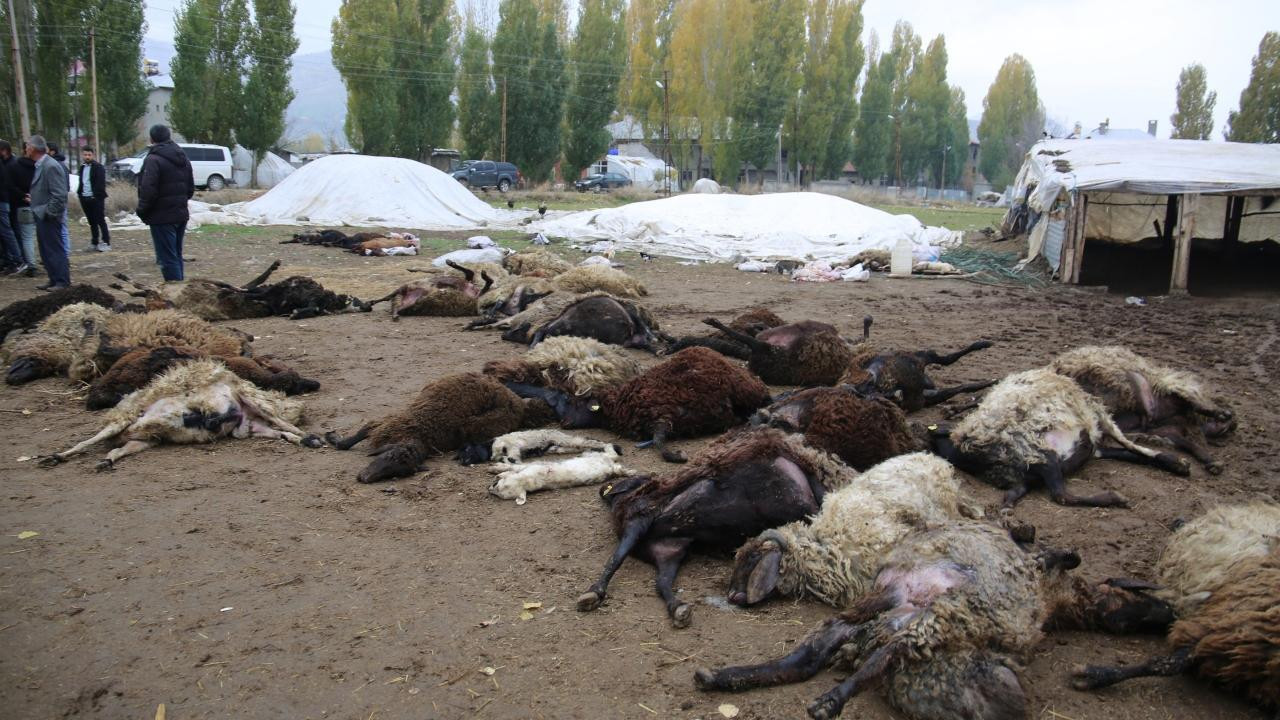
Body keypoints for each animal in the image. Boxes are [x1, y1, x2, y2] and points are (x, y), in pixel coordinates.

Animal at [323, 372, 556, 483]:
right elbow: (362, 431)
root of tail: (516, 401)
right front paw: (334, 439)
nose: (364, 478)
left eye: (398, 473)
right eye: (387, 457)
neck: (420, 431)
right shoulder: (386, 423)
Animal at [487, 444, 628, 504]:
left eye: (498, 488)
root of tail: (610, 468)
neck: (527, 480)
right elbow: (512, 469)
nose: (488, 489)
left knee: (611, 453)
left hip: (597, 455)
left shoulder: (532, 466)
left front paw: (497, 469)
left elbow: (513, 467)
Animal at [507, 346, 771, 463]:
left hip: (746, 389)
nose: (564, 422)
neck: (618, 404)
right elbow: (659, 443)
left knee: (766, 397)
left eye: (577, 402)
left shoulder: (662, 416)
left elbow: (660, 445)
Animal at [696, 521, 1176, 720]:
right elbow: (1056, 554)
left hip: (911, 616)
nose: (1167, 615)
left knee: (811, 657)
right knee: (878, 654)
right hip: (942, 613)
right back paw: (826, 701)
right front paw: (1065, 554)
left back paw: (724, 677)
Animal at [927, 367, 1191, 507]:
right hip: (1045, 454)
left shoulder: (1089, 441)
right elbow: (1128, 446)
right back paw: (1116, 497)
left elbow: (1128, 450)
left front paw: (1174, 463)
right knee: (1061, 494)